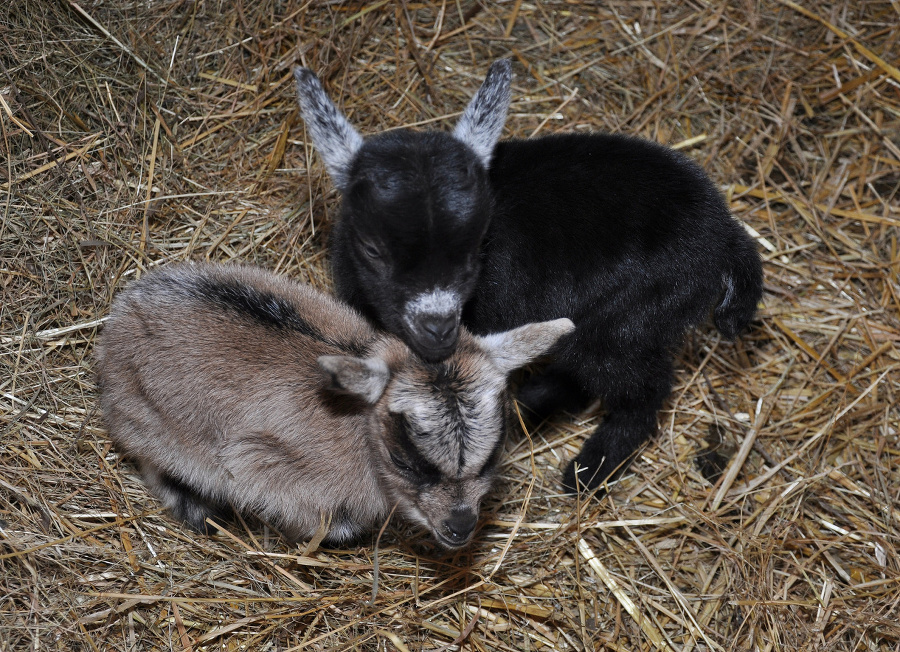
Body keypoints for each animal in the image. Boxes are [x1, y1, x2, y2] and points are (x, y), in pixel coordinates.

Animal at [95, 262, 572, 548]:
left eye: (491, 457)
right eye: (406, 462)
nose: (459, 527)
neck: (359, 433)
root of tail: (120, 317)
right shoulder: (257, 464)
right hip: (151, 425)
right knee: (151, 460)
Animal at [294, 58, 760, 492]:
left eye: (476, 248)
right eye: (373, 249)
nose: (438, 331)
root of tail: (727, 238)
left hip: (634, 317)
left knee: (640, 387)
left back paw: (588, 469)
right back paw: (536, 401)